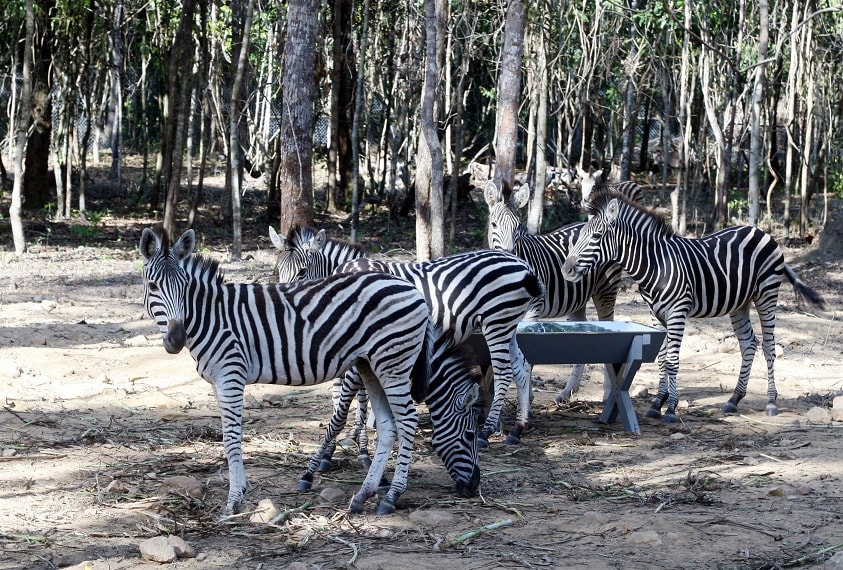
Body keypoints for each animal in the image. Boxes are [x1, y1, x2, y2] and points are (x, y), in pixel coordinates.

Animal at [140, 226, 436, 516]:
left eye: (184, 287)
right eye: (153, 286)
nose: (176, 339)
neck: (212, 316)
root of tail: (412, 289)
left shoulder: (231, 375)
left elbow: (232, 439)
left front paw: (234, 501)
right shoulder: (217, 381)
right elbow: (229, 435)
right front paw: (240, 492)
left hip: (393, 364)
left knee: (408, 421)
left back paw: (392, 495)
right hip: (371, 366)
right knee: (387, 426)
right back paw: (364, 494)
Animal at [272, 225, 548, 444]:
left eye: (302, 271)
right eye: (278, 271)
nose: (284, 302)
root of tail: (521, 264)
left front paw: (356, 433)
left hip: (496, 322)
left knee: (503, 373)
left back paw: (487, 431)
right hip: (508, 324)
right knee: (521, 367)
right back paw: (517, 428)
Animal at [484, 180, 624, 402]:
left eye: (518, 227)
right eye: (494, 225)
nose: (508, 255)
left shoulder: (534, 310)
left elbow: (529, 356)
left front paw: (527, 398)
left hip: (606, 290)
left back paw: (607, 393)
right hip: (577, 301)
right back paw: (567, 392)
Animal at [564, 190, 828, 422]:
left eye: (596, 237)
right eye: (581, 235)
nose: (566, 270)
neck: (656, 265)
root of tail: (760, 231)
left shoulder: (677, 312)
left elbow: (672, 360)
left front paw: (670, 409)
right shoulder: (655, 314)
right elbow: (662, 358)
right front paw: (657, 404)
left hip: (766, 295)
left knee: (769, 346)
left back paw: (771, 402)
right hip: (739, 304)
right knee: (748, 344)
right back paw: (734, 399)